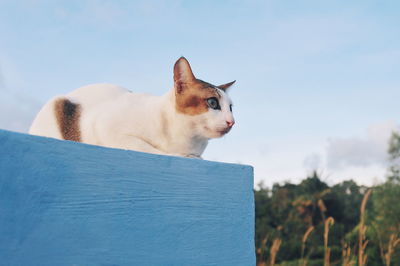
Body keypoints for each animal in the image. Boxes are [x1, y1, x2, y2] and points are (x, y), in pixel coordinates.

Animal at [29, 57, 236, 158]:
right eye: (212, 102)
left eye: (231, 108)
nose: (232, 122)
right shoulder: (106, 126)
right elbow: (146, 148)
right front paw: (184, 156)